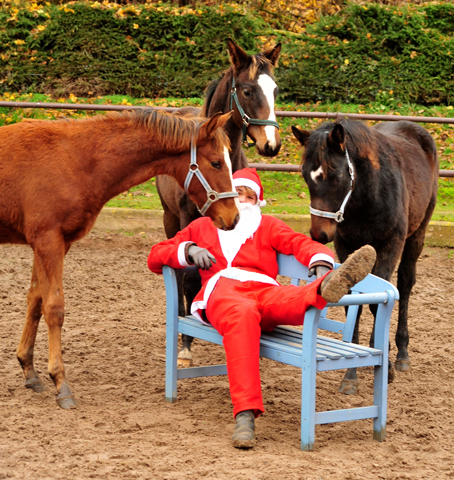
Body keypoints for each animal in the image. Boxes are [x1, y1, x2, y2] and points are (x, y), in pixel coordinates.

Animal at [0, 109, 239, 408]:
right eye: (216, 163)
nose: (233, 217)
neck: (75, 159)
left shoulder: (51, 244)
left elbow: (35, 301)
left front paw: (29, 371)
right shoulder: (48, 241)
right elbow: (54, 307)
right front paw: (61, 383)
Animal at [158, 37, 282, 366]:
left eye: (275, 90)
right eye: (247, 90)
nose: (271, 145)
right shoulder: (189, 221)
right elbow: (189, 277)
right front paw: (186, 345)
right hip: (169, 218)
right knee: (178, 273)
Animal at [292, 119, 438, 394]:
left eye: (336, 175)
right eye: (305, 175)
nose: (319, 233)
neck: (368, 197)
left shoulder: (390, 244)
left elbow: (378, 301)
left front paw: (386, 364)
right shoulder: (346, 245)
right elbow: (353, 303)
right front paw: (350, 375)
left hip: (417, 233)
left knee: (405, 284)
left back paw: (402, 353)